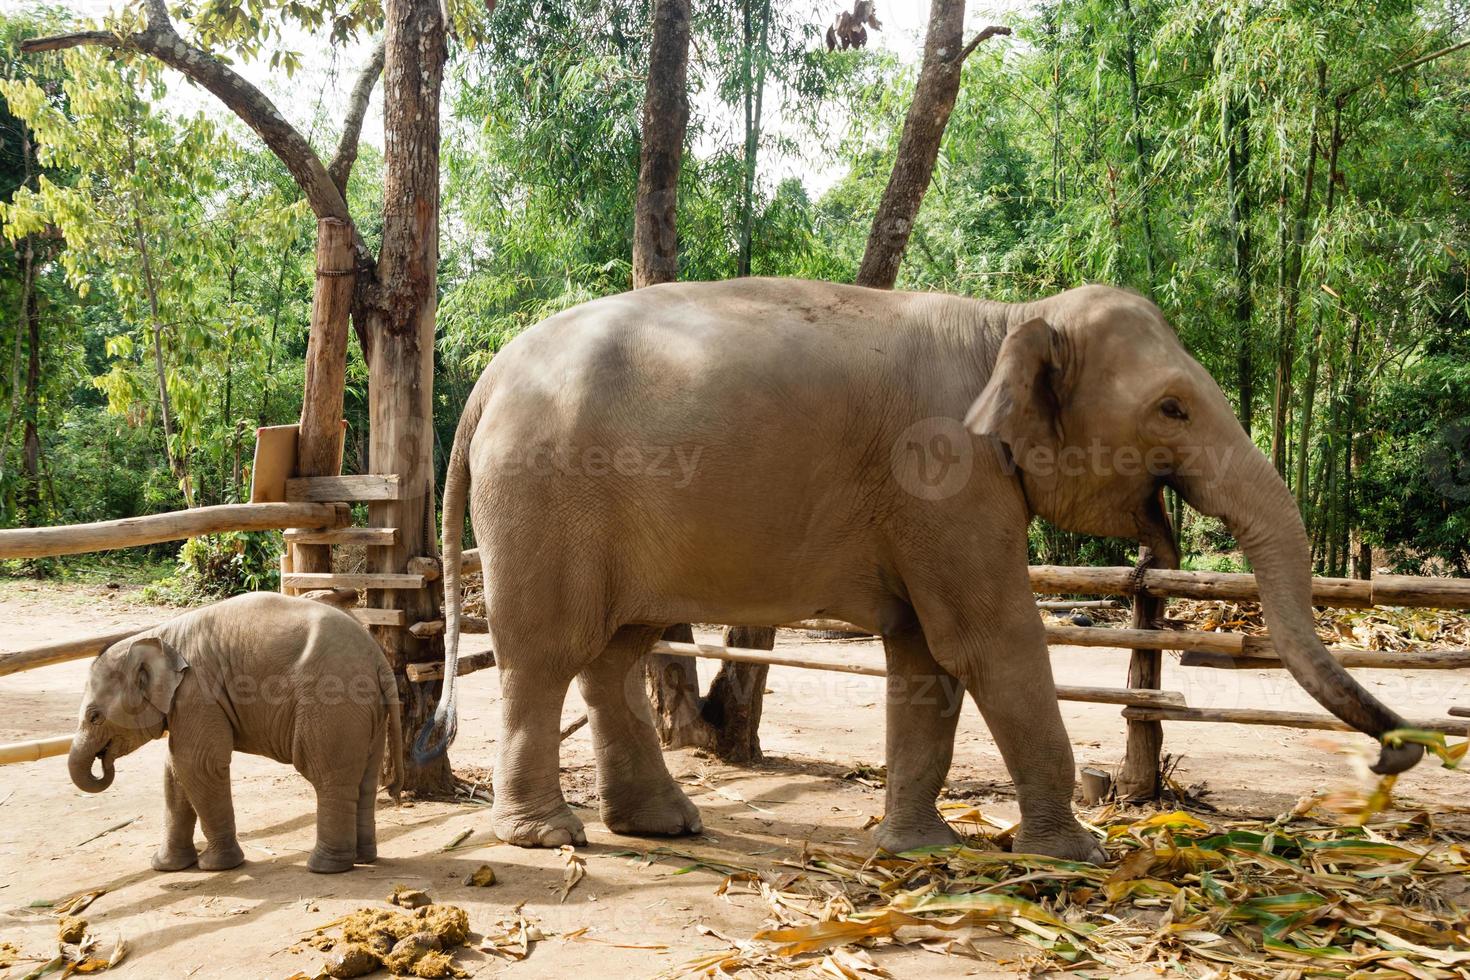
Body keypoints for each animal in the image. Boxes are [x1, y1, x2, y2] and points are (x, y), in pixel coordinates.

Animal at [69, 590, 402, 875]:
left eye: (94, 717)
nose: (104, 762)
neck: (157, 637)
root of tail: (379, 659)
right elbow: (175, 771)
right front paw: (165, 867)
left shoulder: (197, 694)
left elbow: (196, 765)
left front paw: (216, 867)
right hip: (367, 711)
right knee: (364, 780)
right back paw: (363, 858)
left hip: (332, 705)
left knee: (325, 773)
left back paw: (324, 868)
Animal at [429, 277, 1422, 858]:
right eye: (1173, 408)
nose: (1396, 754)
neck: (1013, 322)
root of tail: (487, 378)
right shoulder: (949, 474)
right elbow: (991, 640)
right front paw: (1077, 856)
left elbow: (924, 656)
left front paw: (921, 850)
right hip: (544, 495)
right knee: (546, 653)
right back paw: (545, 837)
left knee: (613, 654)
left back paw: (662, 825)